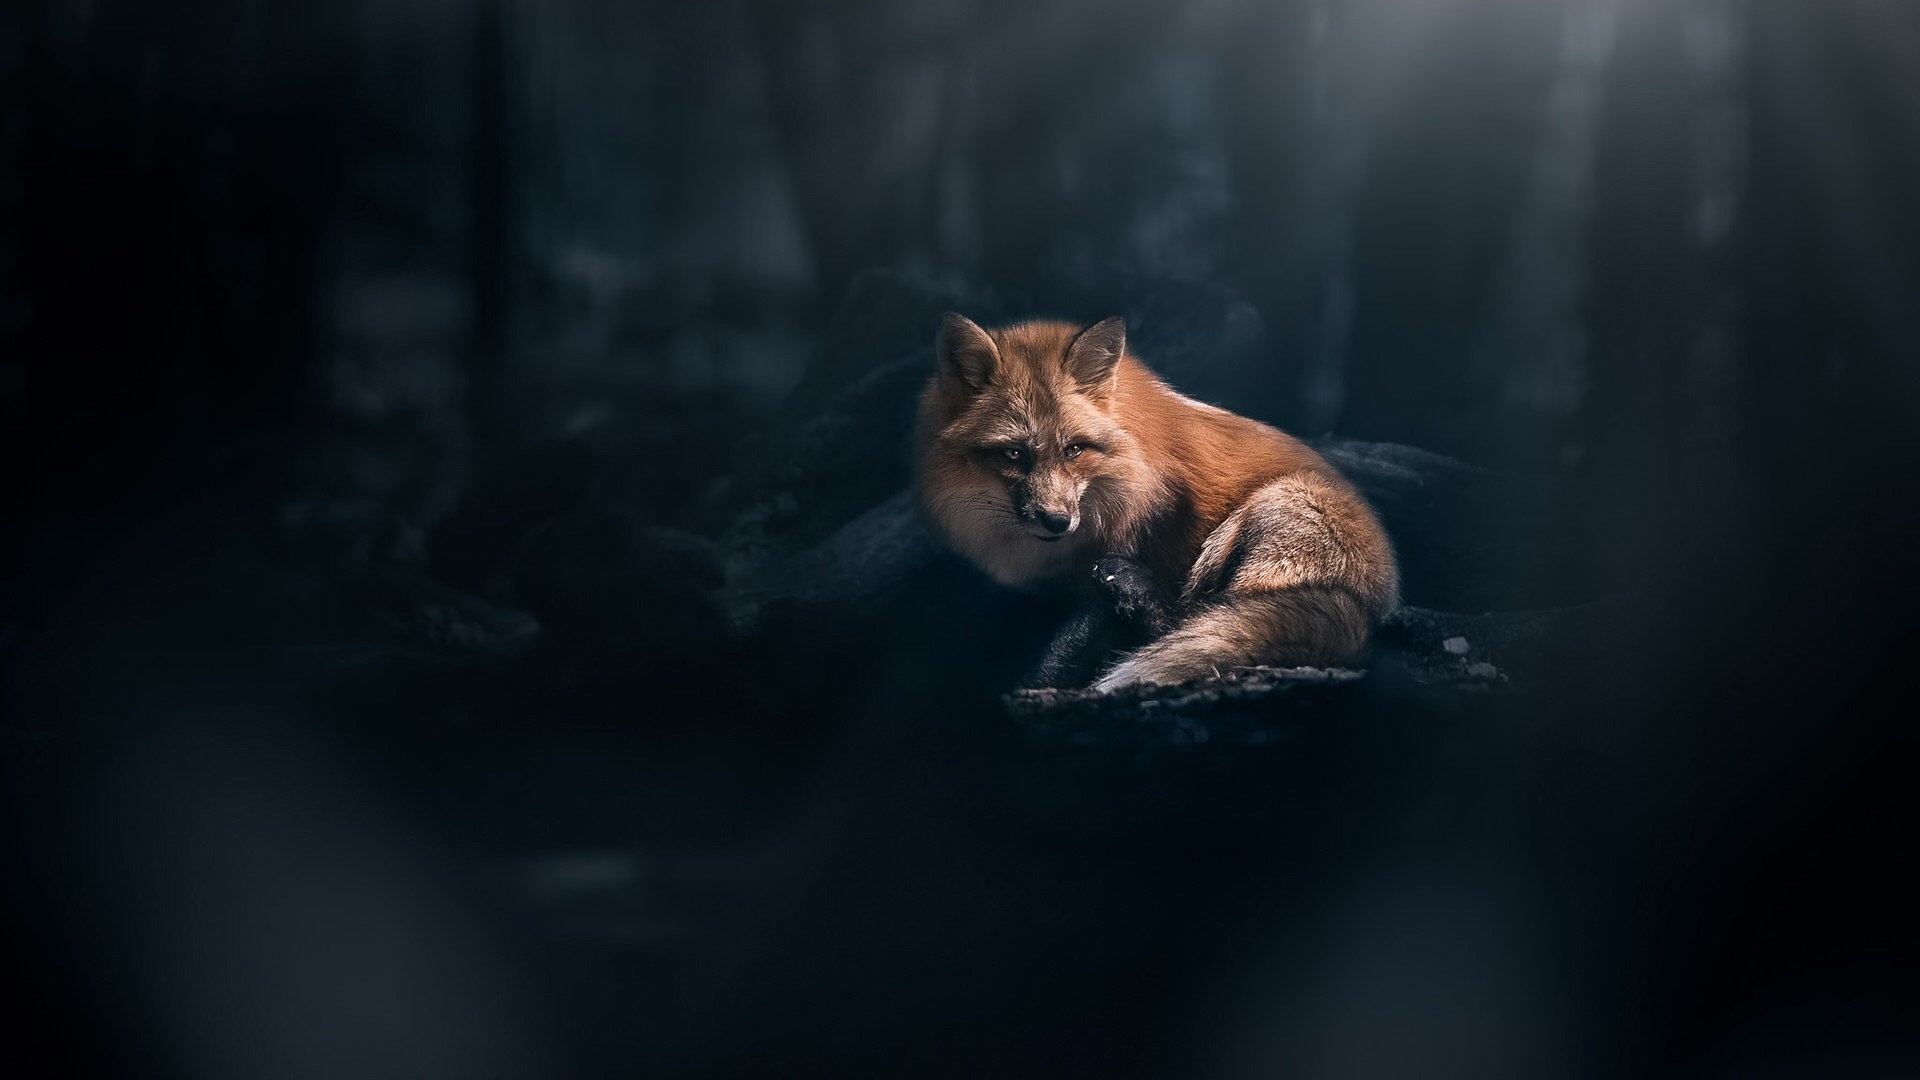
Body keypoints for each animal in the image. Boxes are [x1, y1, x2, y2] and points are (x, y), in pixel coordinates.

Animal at [914, 313, 1399, 691]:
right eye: (1014, 454)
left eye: (1074, 450)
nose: (1056, 521)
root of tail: (1372, 611)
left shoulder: (1136, 551)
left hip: (1272, 509)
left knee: (1190, 622)